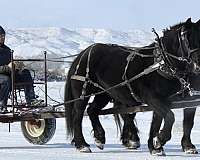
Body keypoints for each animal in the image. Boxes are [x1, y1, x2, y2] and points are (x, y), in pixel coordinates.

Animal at [65, 18, 200, 155]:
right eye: (187, 40)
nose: (198, 66)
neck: (160, 64)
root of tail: (84, 53)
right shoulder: (153, 98)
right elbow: (169, 117)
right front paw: (160, 141)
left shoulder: (175, 100)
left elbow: (167, 122)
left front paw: (157, 146)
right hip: (83, 93)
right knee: (78, 115)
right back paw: (82, 144)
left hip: (104, 93)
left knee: (92, 110)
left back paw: (100, 138)